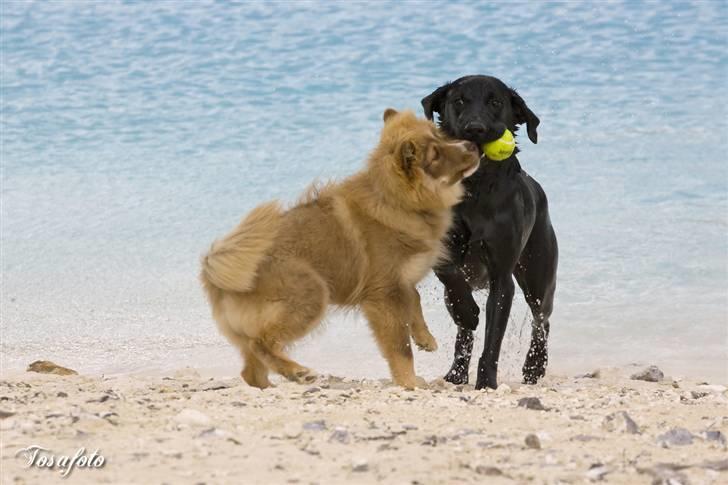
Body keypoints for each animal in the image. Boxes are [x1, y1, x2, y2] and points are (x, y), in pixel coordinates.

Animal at [202, 108, 480, 388]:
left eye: (439, 135)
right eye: (435, 155)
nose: (472, 145)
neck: (395, 201)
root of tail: (215, 275)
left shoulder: (402, 282)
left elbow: (416, 302)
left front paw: (425, 338)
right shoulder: (384, 295)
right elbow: (400, 348)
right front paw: (409, 382)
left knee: (251, 369)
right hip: (311, 295)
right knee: (261, 344)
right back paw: (297, 372)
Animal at [420, 74, 556, 390]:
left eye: (495, 102)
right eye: (459, 100)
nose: (475, 128)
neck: (477, 189)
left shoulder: (501, 277)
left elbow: (493, 337)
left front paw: (487, 381)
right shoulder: (442, 250)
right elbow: (452, 280)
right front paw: (469, 313)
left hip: (538, 274)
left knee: (541, 318)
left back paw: (534, 367)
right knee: (463, 332)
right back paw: (456, 373)